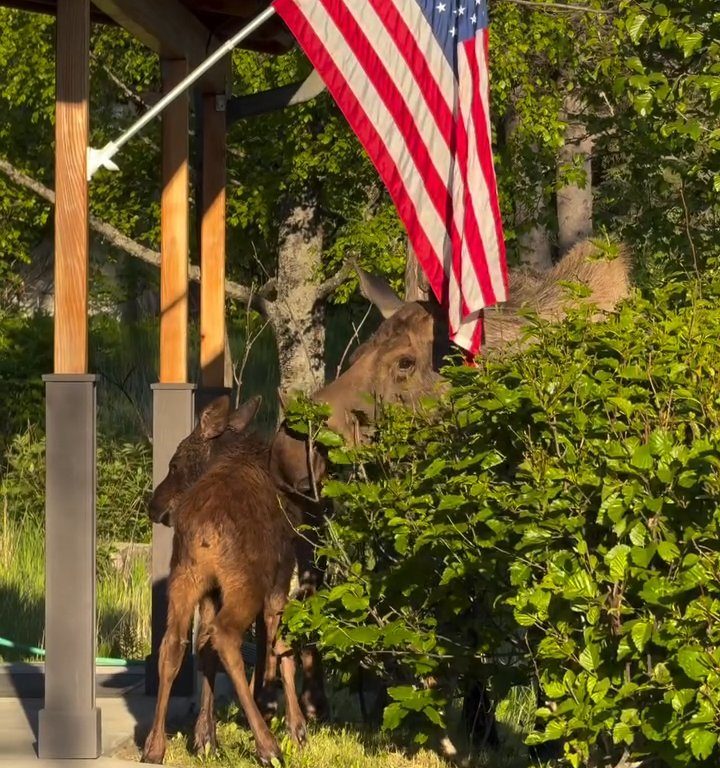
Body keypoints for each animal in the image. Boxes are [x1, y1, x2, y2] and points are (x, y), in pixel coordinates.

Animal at [142, 396, 306, 768]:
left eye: (173, 464)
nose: (153, 505)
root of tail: (204, 528)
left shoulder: (210, 593)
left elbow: (204, 651)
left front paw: (205, 738)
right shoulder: (280, 579)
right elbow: (283, 649)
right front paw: (297, 729)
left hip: (185, 578)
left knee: (174, 644)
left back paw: (154, 746)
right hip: (246, 584)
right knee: (226, 636)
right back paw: (268, 745)